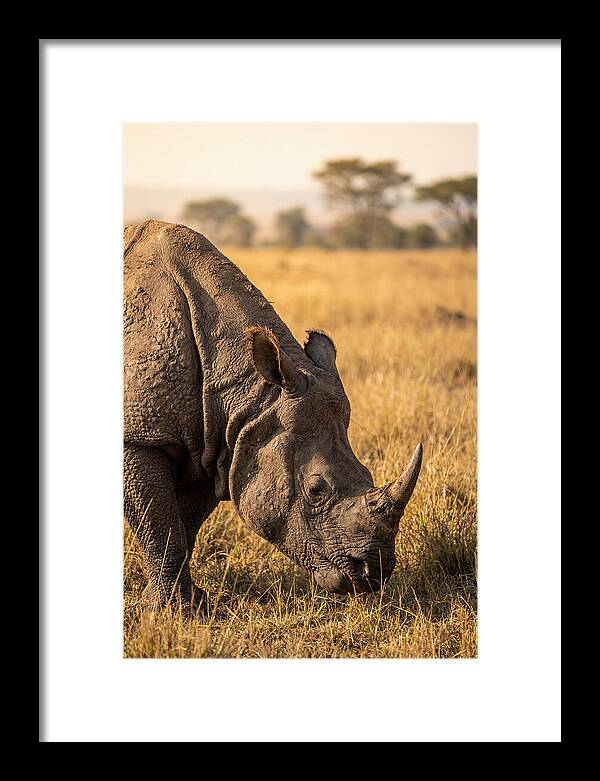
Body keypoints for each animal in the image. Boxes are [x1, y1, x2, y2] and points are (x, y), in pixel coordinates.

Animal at [124, 220, 423, 615]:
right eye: (316, 490)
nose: (374, 574)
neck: (249, 394)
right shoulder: (141, 437)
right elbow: (160, 526)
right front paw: (174, 613)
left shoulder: (214, 441)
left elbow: (183, 525)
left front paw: (186, 605)